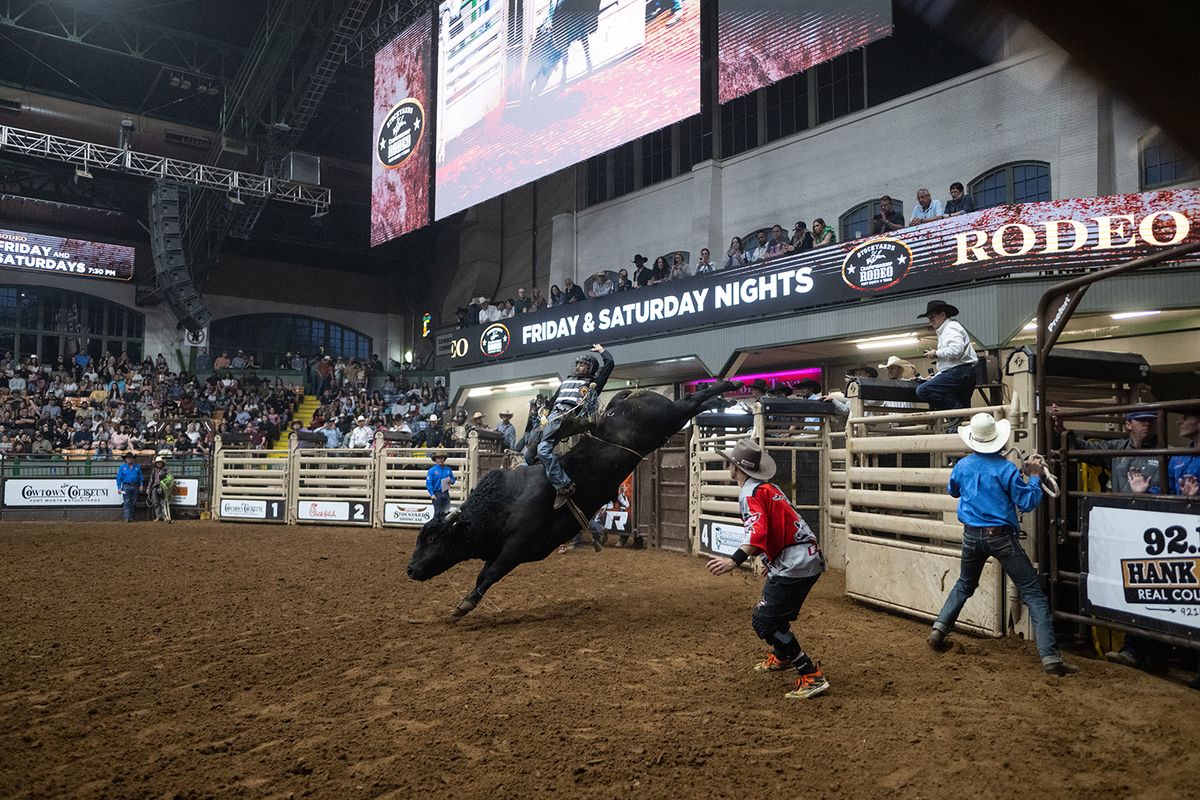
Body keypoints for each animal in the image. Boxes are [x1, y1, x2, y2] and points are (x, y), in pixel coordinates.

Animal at [408, 379, 734, 618]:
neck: (502, 505)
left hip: (666, 416)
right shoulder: (499, 549)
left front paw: (465, 605)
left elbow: (489, 575)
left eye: (434, 538)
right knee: (694, 403)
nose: (410, 569)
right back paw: (725, 400)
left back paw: (726, 388)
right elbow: (485, 572)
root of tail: (626, 396)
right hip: (666, 423)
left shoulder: (516, 548)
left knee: (691, 401)